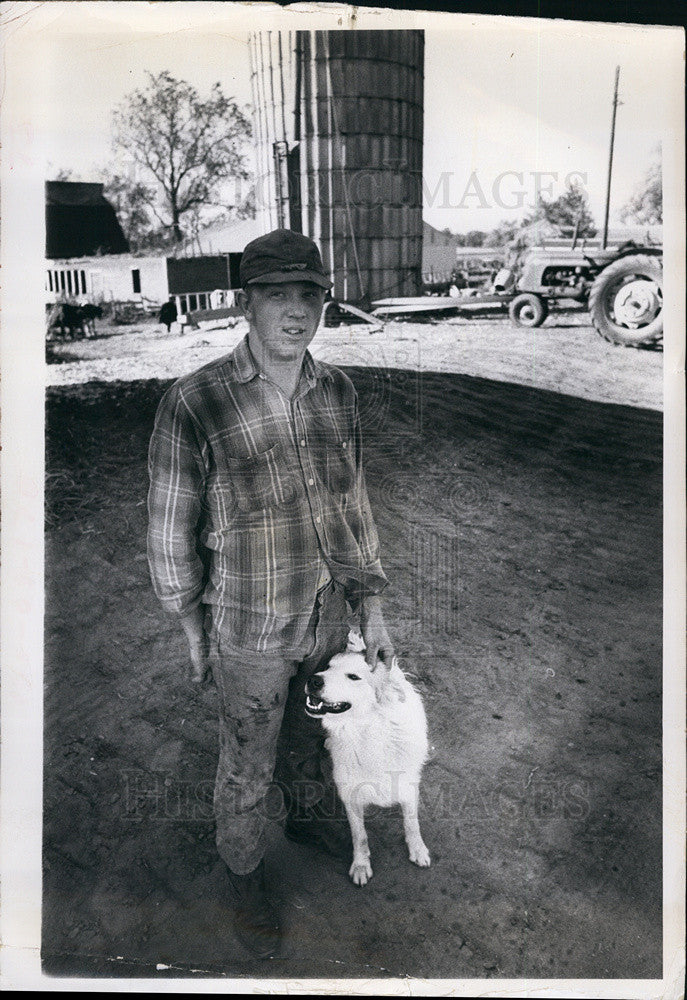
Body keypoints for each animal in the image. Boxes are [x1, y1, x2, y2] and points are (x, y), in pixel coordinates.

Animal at [306, 644, 430, 888]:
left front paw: (418, 849)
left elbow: (412, 823)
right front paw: (361, 865)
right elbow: (360, 836)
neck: (368, 732)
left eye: (354, 677)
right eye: (328, 667)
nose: (313, 680)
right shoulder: (350, 794)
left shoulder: (408, 787)